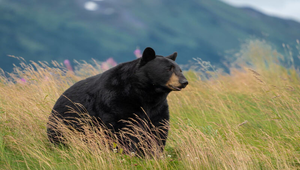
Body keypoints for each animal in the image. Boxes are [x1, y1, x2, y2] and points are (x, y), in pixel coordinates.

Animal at [46, 46, 188, 154]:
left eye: (180, 69)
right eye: (168, 69)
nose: (184, 81)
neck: (145, 93)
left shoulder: (158, 107)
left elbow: (157, 129)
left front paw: (152, 154)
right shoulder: (117, 101)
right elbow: (122, 129)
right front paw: (127, 152)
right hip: (65, 122)